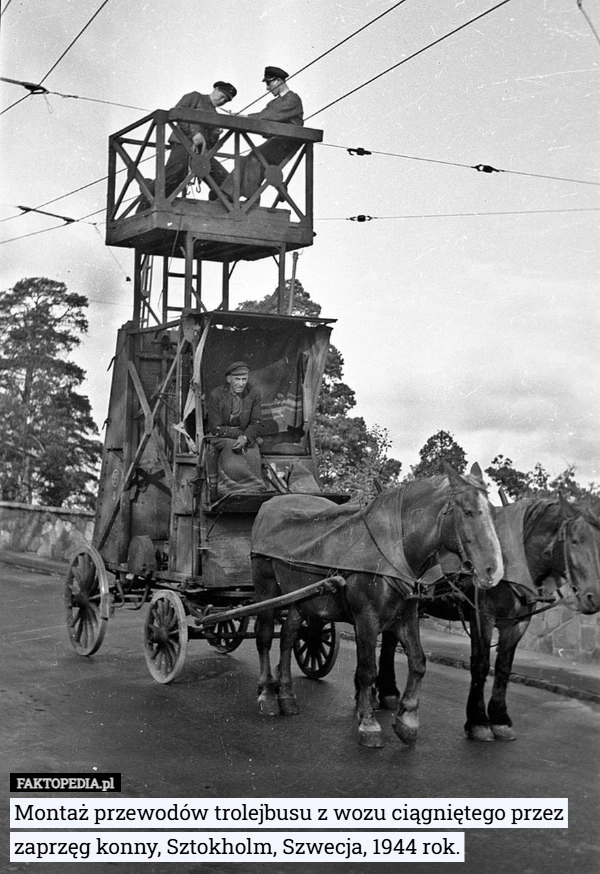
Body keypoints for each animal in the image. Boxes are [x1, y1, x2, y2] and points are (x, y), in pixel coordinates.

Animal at [251, 460, 504, 744]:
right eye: (468, 512)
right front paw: (369, 723)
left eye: (492, 513)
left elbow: (418, 662)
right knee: (264, 636)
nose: (494, 570)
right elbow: (368, 669)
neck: (394, 549)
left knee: (287, 637)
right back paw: (268, 695)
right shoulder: (367, 617)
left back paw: (286, 695)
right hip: (266, 588)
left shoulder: (406, 616)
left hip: (300, 598)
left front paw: (406, 720)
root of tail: (271, 503)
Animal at [376, 494, 600, 740]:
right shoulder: (482, 618)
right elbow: (481, 665)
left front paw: (500, 719)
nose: (593, 596)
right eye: (575, 541)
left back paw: (387, 692)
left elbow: (503, 668)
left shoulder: (517, 624)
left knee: (389, 642)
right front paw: (478, 721)